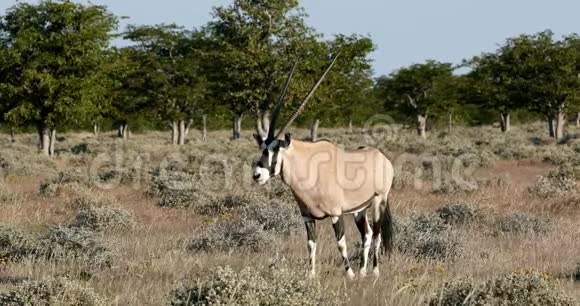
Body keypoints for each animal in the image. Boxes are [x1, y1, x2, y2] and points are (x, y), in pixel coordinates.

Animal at [250, 54, 394, 278]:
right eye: (262, 147)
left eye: (275, 149)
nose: (257, 175)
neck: (309, 168)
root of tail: (382, 157)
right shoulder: (308, 217)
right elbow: (311, 245)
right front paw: (311, 275)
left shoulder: (335, 214)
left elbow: (341, 243)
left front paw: (349, 274)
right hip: (359, 210)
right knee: (367, 234)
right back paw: (363, 271)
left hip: (380, 200)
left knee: (377, 234)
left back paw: (375, 272)